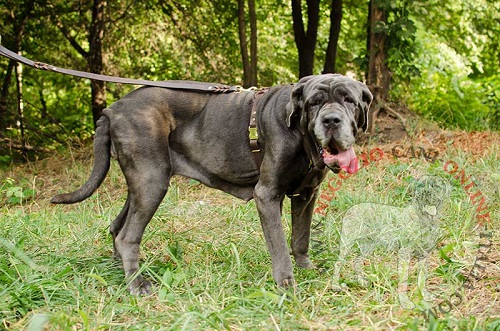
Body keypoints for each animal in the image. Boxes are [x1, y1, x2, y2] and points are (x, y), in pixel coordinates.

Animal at [52, 74, 372, 294]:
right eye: (314, 102)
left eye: (349, 100)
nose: (331, 121)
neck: (301, 136)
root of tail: (112, 110)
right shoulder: (267, 194)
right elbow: (280, 245)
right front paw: (287, 286)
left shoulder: (306, 194)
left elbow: (300, 238)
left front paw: (307, 270)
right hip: (151, 180)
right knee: (127, 236)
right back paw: (137, 284)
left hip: (142, 183)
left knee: (117, 226)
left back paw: (124, 272)